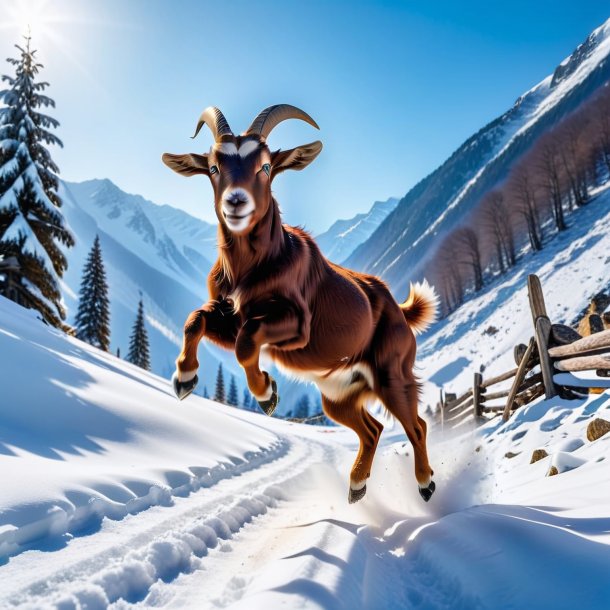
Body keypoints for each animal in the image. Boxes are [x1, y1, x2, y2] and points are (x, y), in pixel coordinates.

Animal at [162, 104, 436, 502]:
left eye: (265, 166)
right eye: (213, 167)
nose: (236, 202)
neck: (253, 266)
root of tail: (400, 311)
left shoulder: (297, 326)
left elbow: (248, 340)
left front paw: (266, 393)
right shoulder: (229, 313)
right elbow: (197, 319)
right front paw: (184, 378)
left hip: (392, 374)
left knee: (416, 425)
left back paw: (426, 483)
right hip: (338, 394)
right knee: (371, 429)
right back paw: (357, 485)